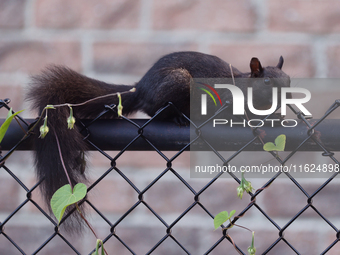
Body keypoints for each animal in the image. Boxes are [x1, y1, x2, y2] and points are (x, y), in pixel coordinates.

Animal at [25, 50, 290, 230]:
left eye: (288, 78)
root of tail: (140, 88)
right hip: (176, 84)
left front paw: (276, 116)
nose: (288, 95)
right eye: (267, 81)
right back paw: (179, 118)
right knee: (157, 112)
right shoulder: (226, 101)